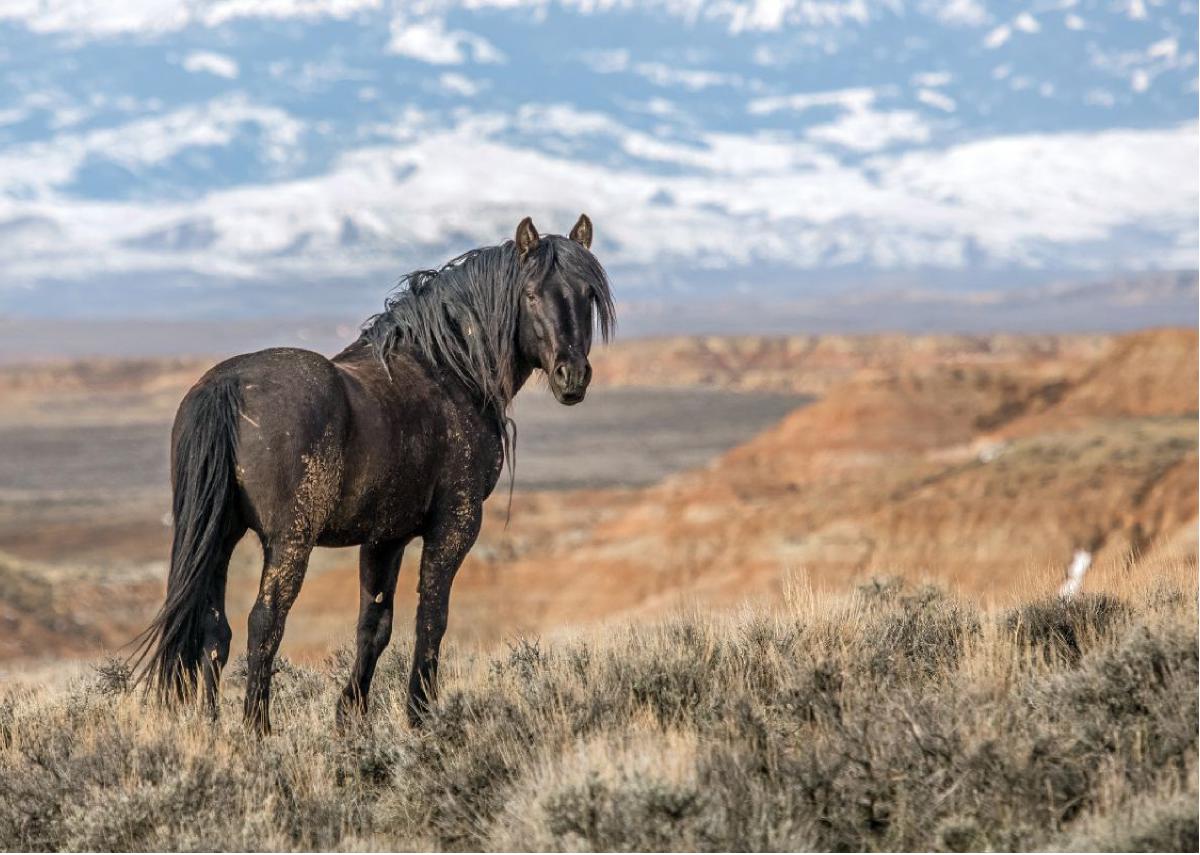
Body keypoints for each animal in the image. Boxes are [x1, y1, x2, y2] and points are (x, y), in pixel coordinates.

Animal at [136, 217, 614, 730]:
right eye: (530, 294)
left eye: (586, 293)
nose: (572, 376)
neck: (447, 370)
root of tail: (227, 386)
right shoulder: (454, 525)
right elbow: (431, 619)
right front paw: (419, 713)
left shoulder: (385, 537)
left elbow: (374, 625)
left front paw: (351, 713)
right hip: (289, 542)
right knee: (263, 622)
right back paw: (257, 727)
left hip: (222, 535)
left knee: (213, 630)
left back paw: (210, 726)